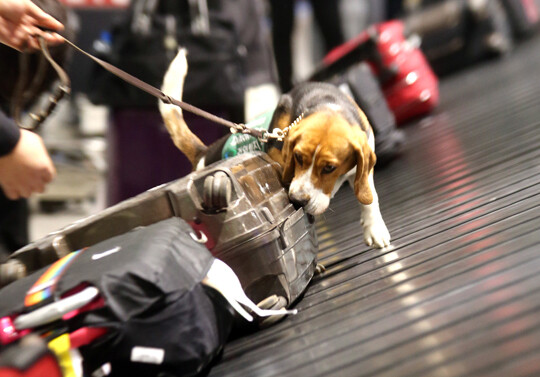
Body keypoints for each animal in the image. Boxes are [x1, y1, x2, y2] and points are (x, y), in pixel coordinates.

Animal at [158, 50, 390, 250]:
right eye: (297, 157)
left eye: (329, 168)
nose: (297, 200)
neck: (328, 105)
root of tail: (203, 154)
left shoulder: (362, 163)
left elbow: (371, 198)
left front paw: (374, 228)